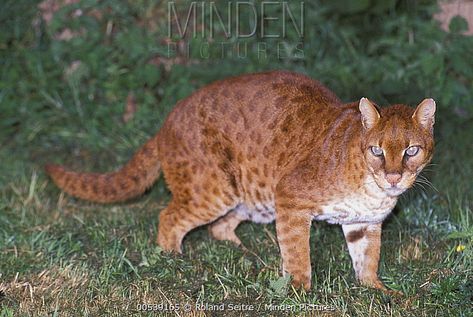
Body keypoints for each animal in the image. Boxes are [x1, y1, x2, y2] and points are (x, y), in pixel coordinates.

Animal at [46, 71, 434, 292]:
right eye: (377, 150)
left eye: (412, 150)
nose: (394, 176)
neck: (371, 187)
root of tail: (165, 124)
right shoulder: (291, 199)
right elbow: (297, 252)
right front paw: (299, 289)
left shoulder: (364, 222)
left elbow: (367, 258)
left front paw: (378, 291)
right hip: (215, 190)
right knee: (169, 217)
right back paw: (175, 260)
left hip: (253, 200)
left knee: (219, 227)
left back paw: (243, 252)